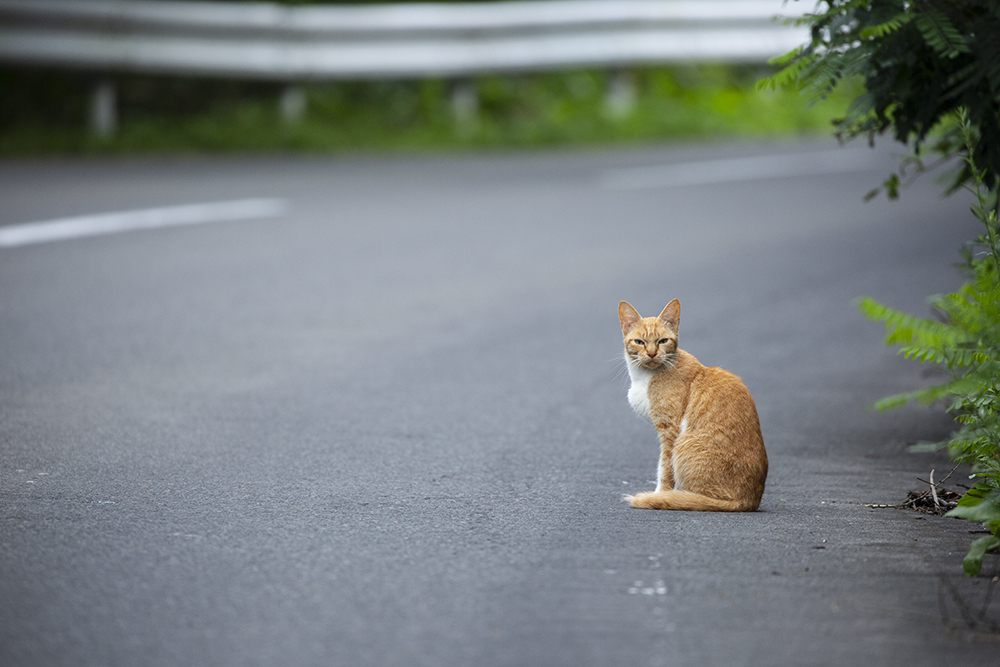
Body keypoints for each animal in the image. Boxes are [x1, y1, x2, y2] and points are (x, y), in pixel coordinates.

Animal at [616, 300, 764, 516]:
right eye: (639, 342)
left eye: (662, 341)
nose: (651, 353)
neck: (644, 377)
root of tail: (749, 501)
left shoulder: (670, 431)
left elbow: (664, 469)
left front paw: (660, 495)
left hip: (684, 443)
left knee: (701, 498)